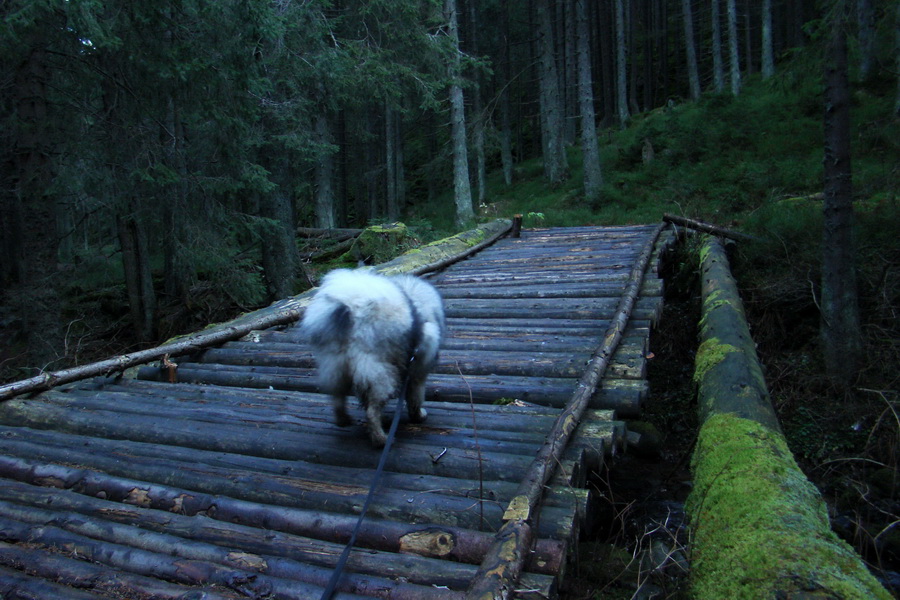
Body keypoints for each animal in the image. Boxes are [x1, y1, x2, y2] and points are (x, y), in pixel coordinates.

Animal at [300, 270, 444, 448]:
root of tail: (352, 312)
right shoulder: (417, 371)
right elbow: (415, 398)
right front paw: (418, 415)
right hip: (380, 373)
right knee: (372, 412)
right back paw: (381, 439)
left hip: (336, 367)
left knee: (338, 398)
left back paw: (343, 420)